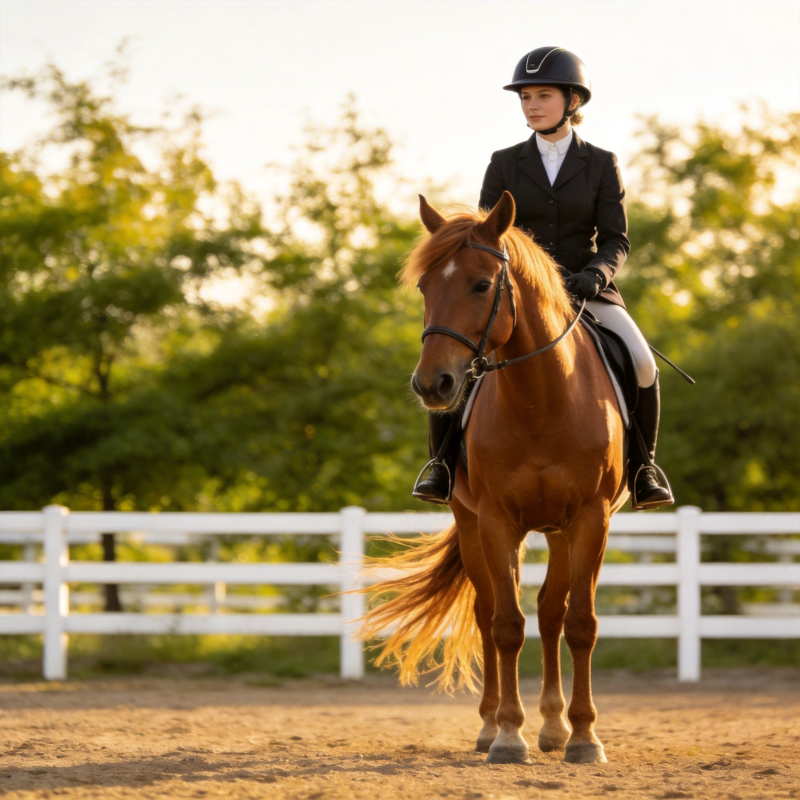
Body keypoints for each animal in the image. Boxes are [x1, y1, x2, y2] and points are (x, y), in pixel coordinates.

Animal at [359, 191, 629, 766]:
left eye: (482, 284)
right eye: (425, 286)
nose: (432, 384)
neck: (541, 398)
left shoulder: (591, 519)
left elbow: (580, 623)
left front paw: (584, 737)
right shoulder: (496, 520)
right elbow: (505, 625)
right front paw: (507, 735)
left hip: (560, 530)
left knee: (551, 614)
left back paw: (555, 727)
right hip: (470, 523)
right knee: (488, 614)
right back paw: (491, 726)